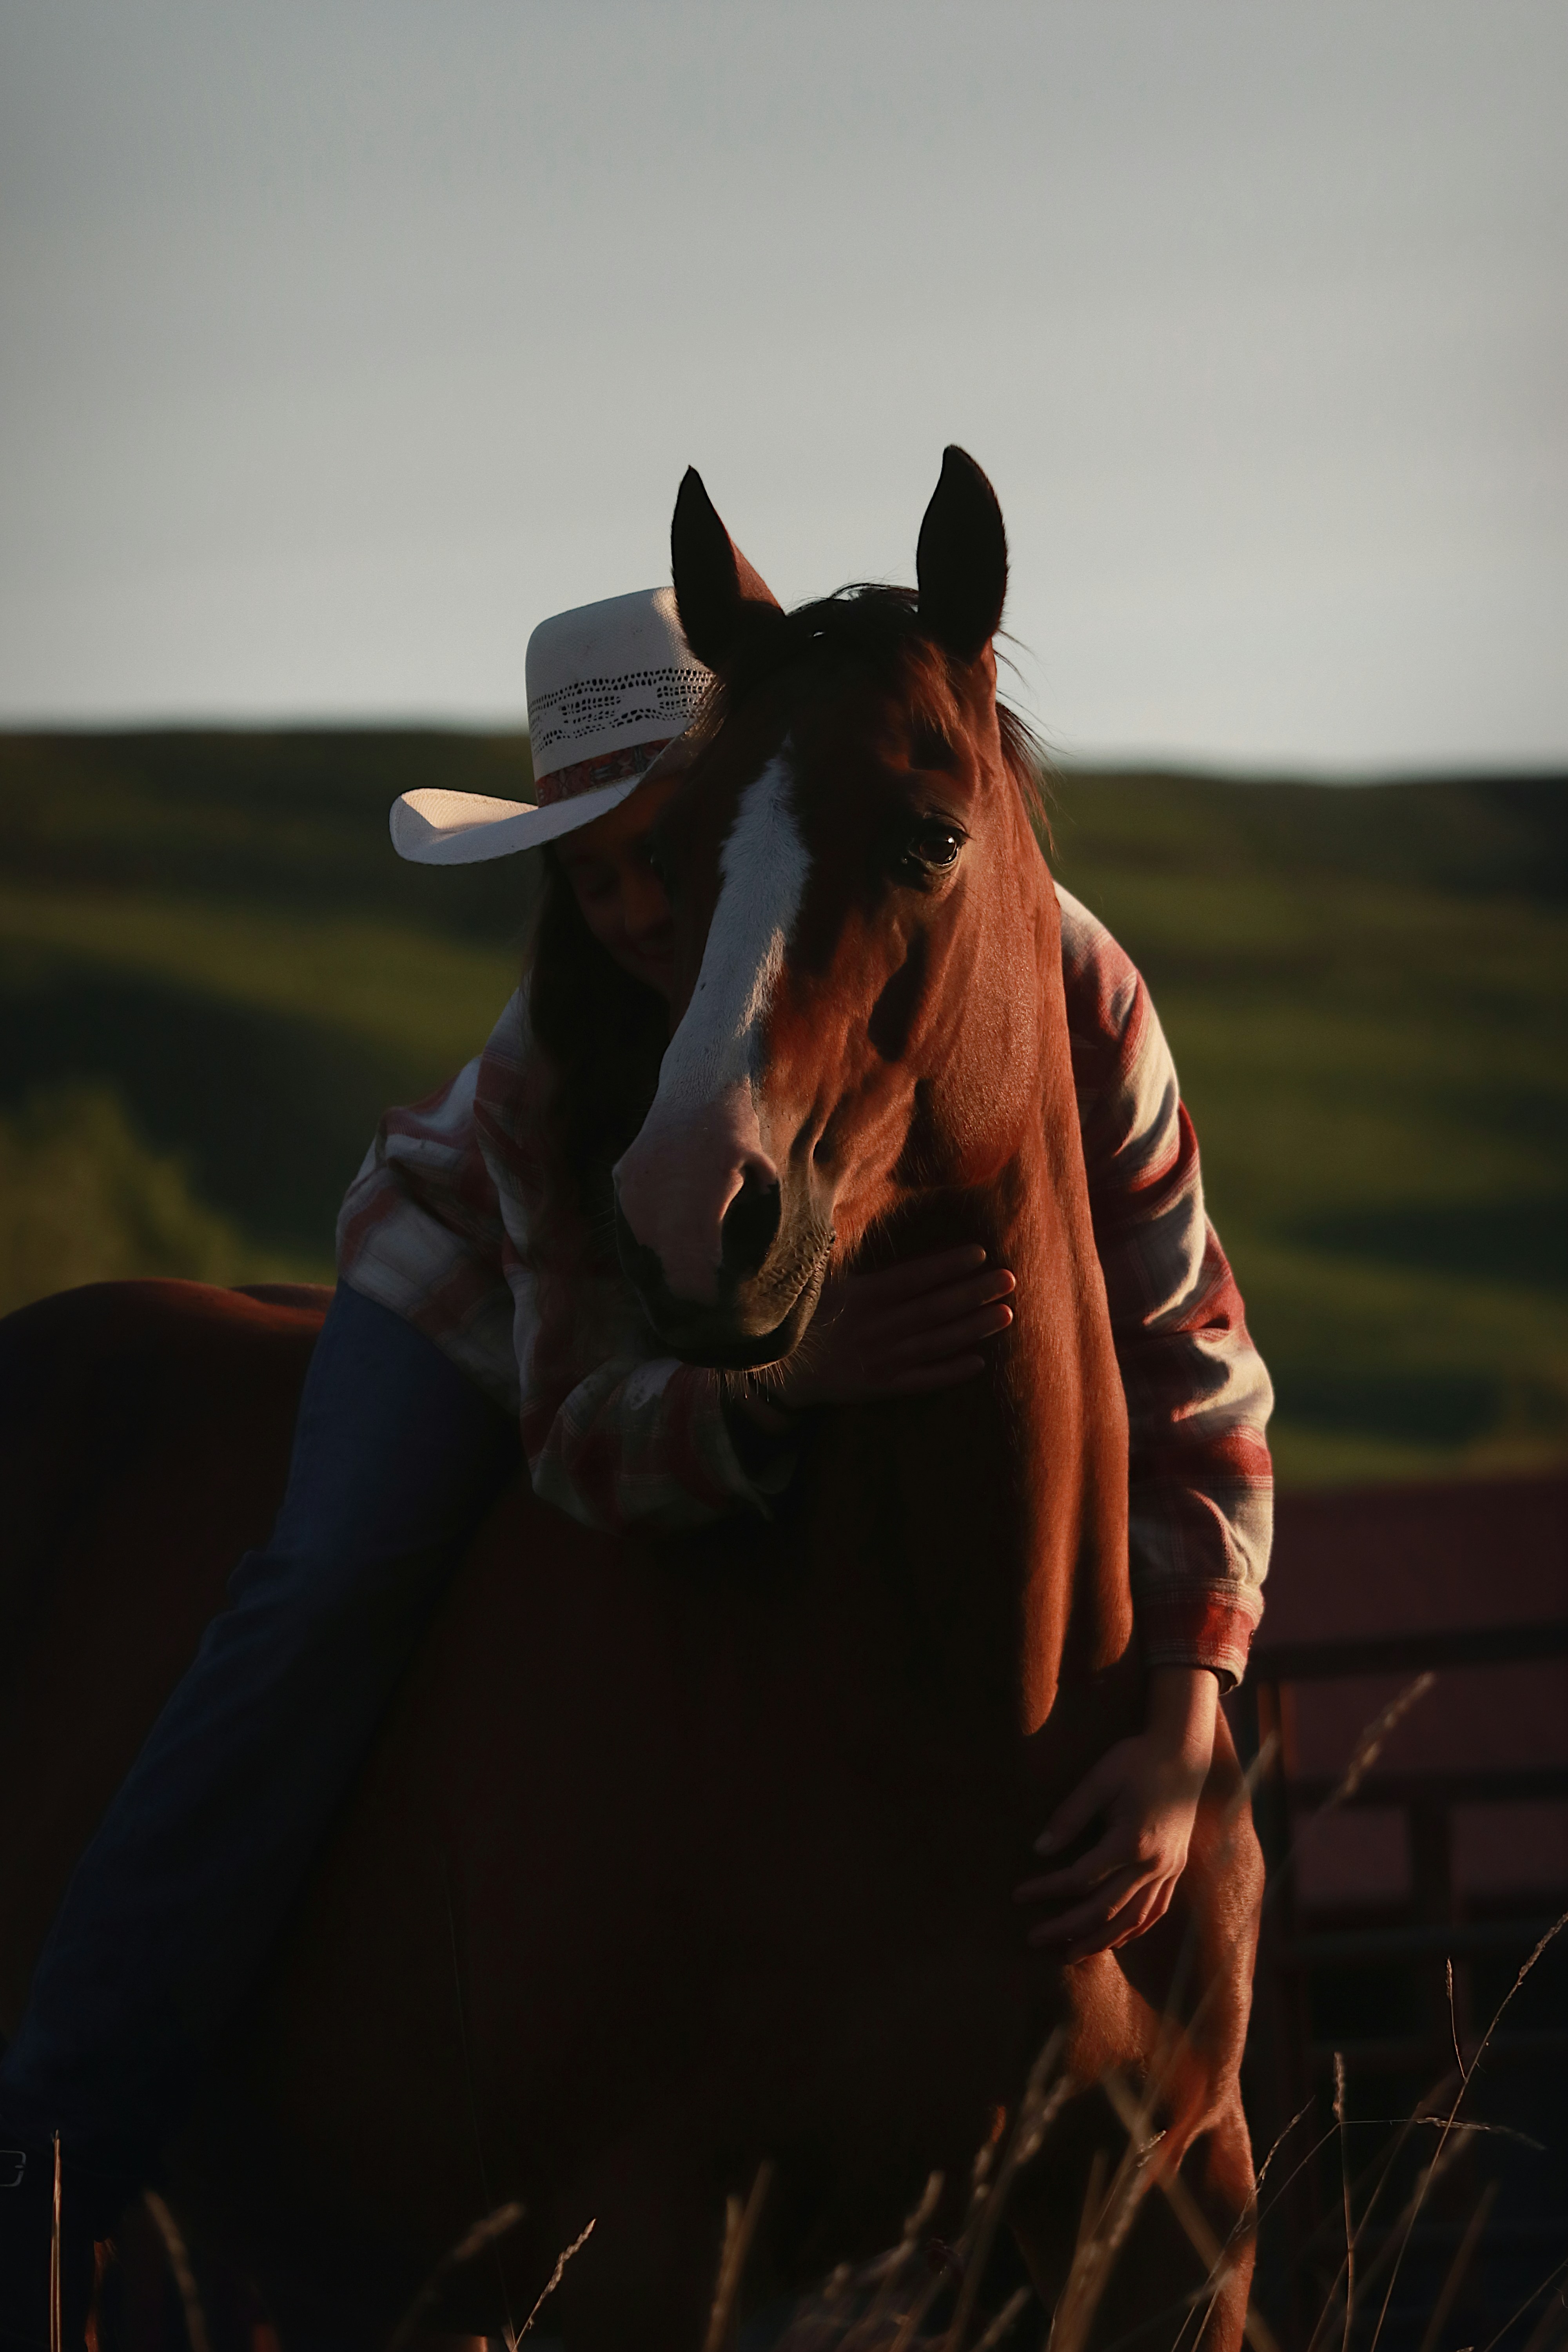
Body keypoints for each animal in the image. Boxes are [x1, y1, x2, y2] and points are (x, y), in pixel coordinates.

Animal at [0, 449, 1263, 2351]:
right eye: (666, 855)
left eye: (927, 834)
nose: (687, 1204)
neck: (967, 1705)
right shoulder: (639, 2242)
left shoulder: (1168, 2234)